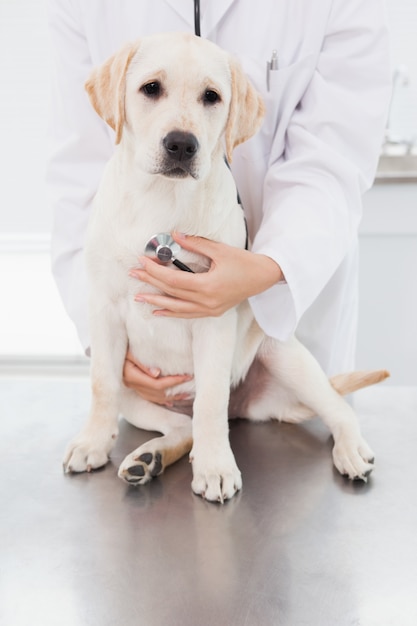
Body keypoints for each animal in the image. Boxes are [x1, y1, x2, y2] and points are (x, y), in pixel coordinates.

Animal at [63, 33, 388, 502]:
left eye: (211, 97)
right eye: (150, 88)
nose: (182, 144)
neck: (162, 197)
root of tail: (248, 407)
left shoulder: (212, 314)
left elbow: (211, 400)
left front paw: (216, 466)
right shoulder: (103, 313)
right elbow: (101, 383)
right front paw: (92, 442)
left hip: (283, 353)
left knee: (333, 407)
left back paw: (350, 451)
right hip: (138, 396)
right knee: (181, 426)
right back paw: (148, 458)